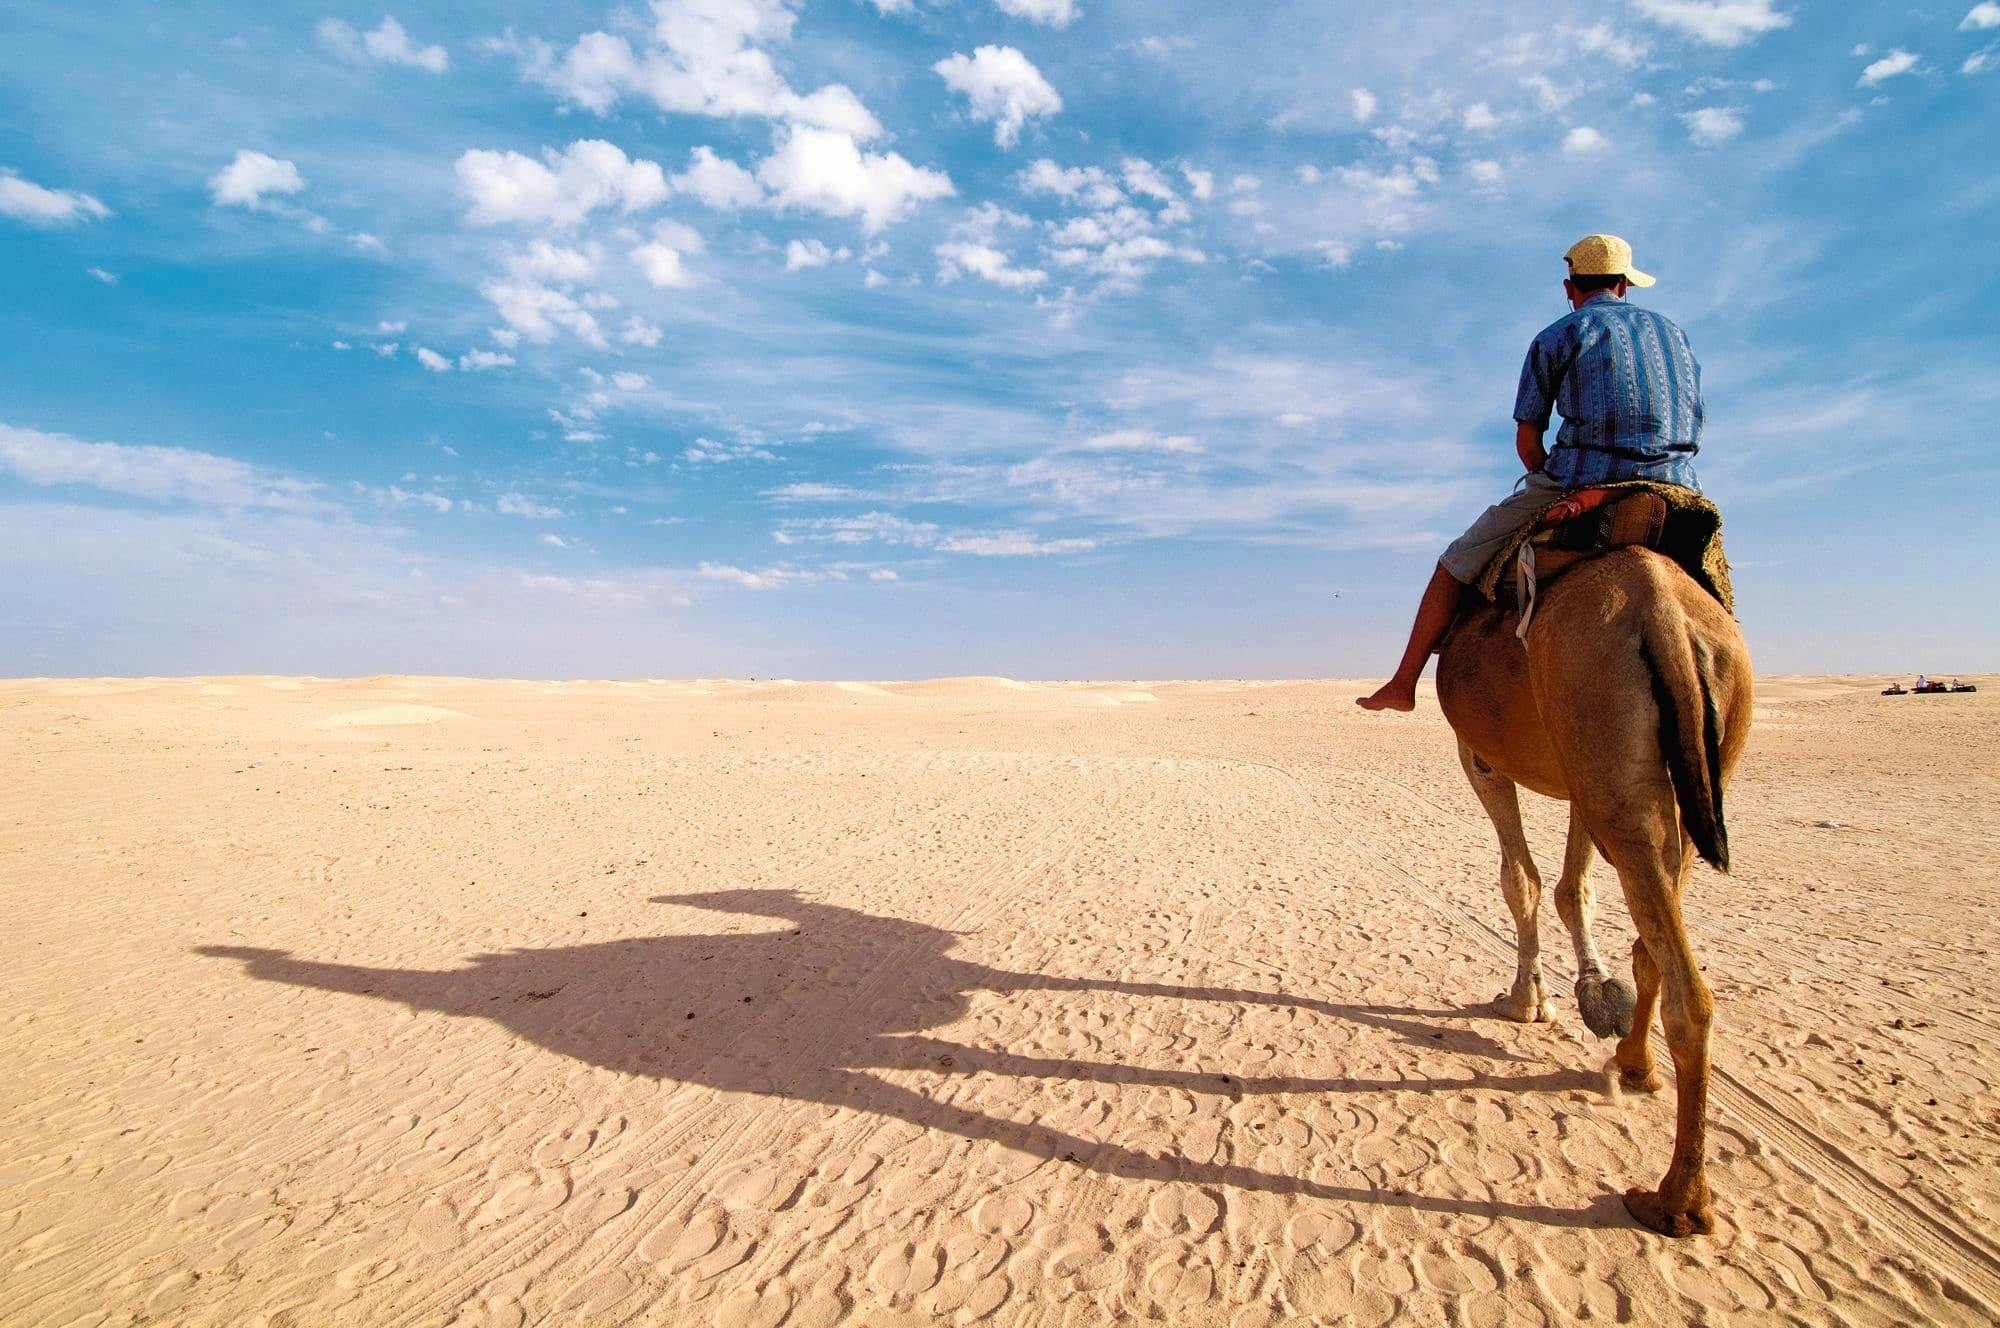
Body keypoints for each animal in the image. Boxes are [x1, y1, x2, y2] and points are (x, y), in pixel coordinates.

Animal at [1440, 540, 1752, 1232]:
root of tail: (1660, 606)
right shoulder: (1577, 771)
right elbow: (1570, 885)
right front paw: (1588, 990)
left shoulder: (1480, 754)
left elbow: (1522, 881)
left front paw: (1528, 1001)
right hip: (1688, 766)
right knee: (1655, 934)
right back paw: (1636, 1066)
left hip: (1598, 715)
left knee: (1686, 988)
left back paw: (1674, 1201)